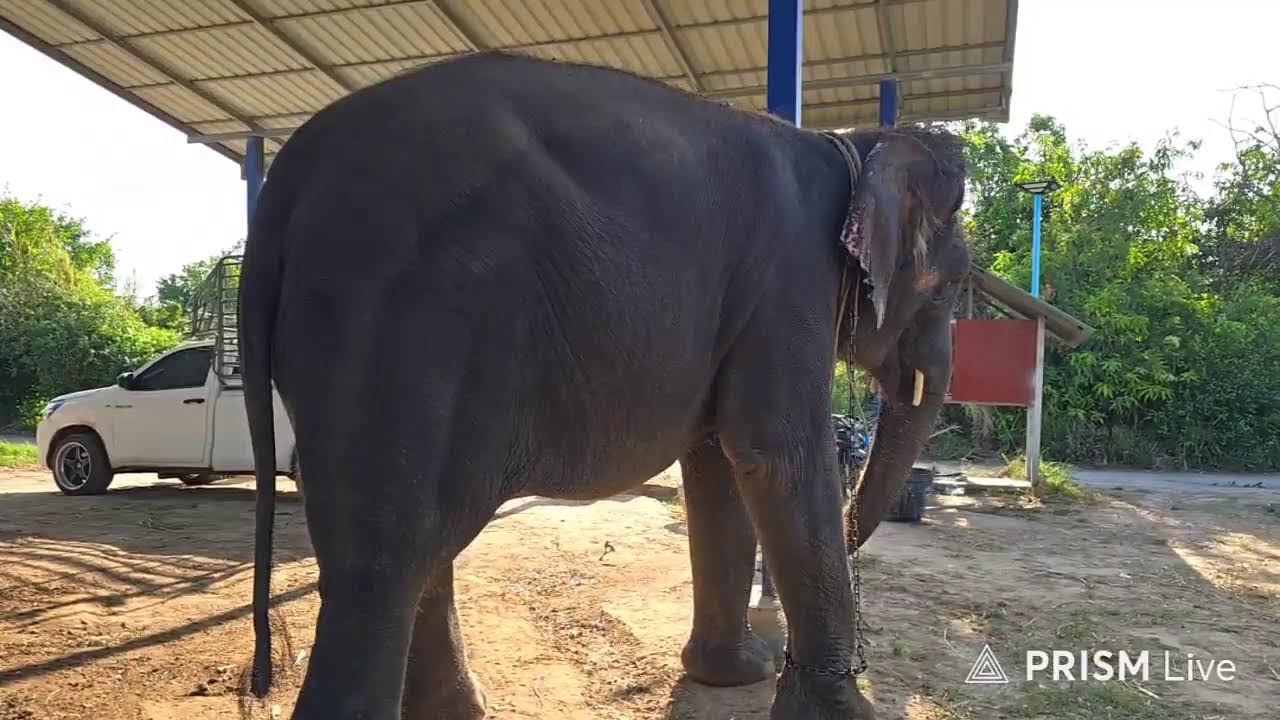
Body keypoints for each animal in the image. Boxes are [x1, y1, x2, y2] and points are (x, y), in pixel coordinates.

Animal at [239, 51, 968, 720]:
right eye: (949, 290)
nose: (856, 535)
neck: (853, 146)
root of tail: (285, 182)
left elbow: (717, 463)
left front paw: (735, 673)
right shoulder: (788, 280)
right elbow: (777, 455)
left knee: (418, 542)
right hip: (398, 315)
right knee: (383, 561)